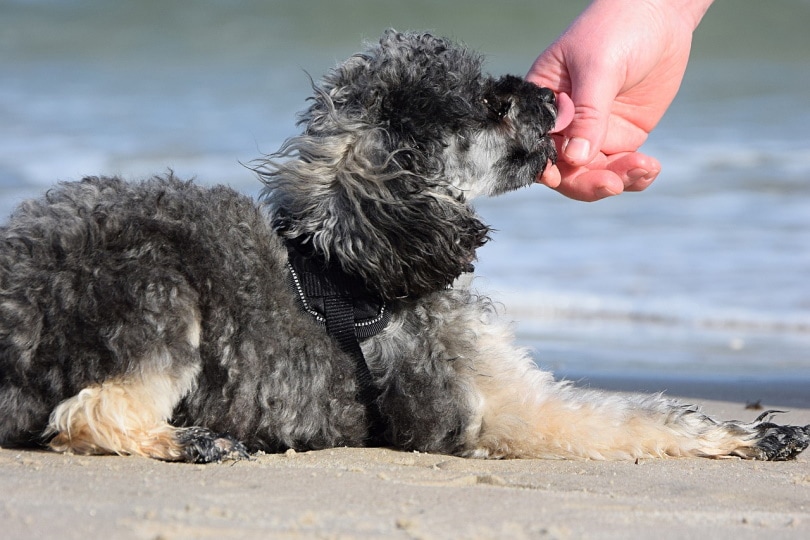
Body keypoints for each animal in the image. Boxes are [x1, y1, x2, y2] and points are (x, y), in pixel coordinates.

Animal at [1, 30, 808, 464]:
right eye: (490, 103)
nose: (550, 95)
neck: (362, 255)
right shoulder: (496, 409)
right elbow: (627, 418)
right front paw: (742, 434)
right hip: (157, 293)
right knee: (86, 414)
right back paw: (193, 441)